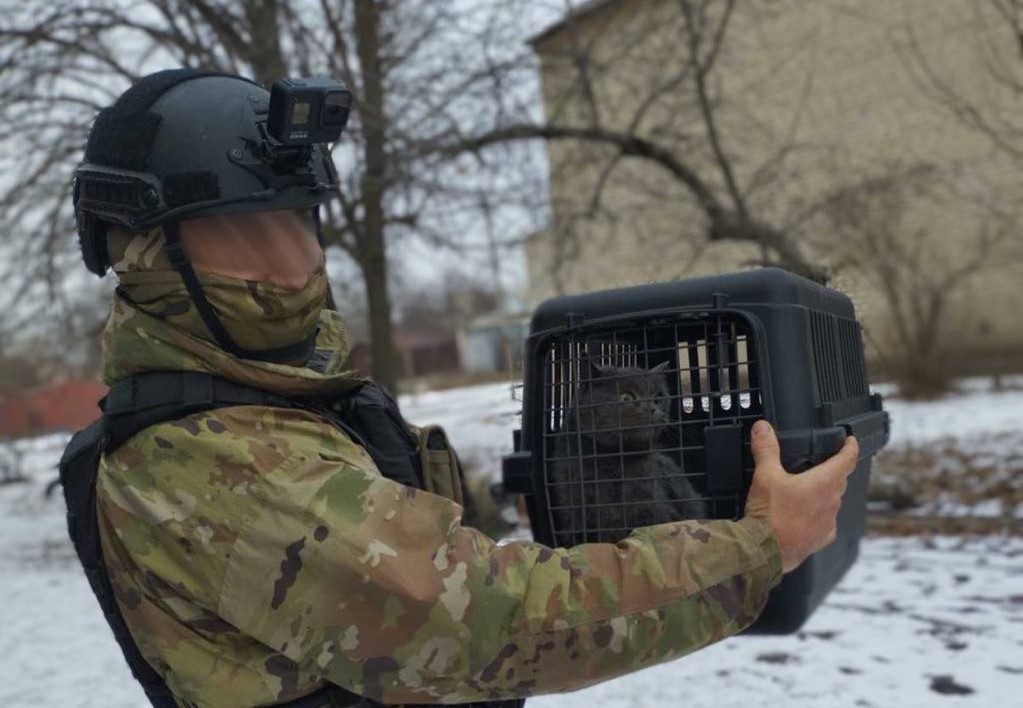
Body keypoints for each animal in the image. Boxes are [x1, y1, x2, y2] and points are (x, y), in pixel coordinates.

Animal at [548, 356, 707, 544]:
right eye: (626, 396)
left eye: (658, 398)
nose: (651, 408)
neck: (612, 460)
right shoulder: (577, 518)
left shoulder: (655, 511)